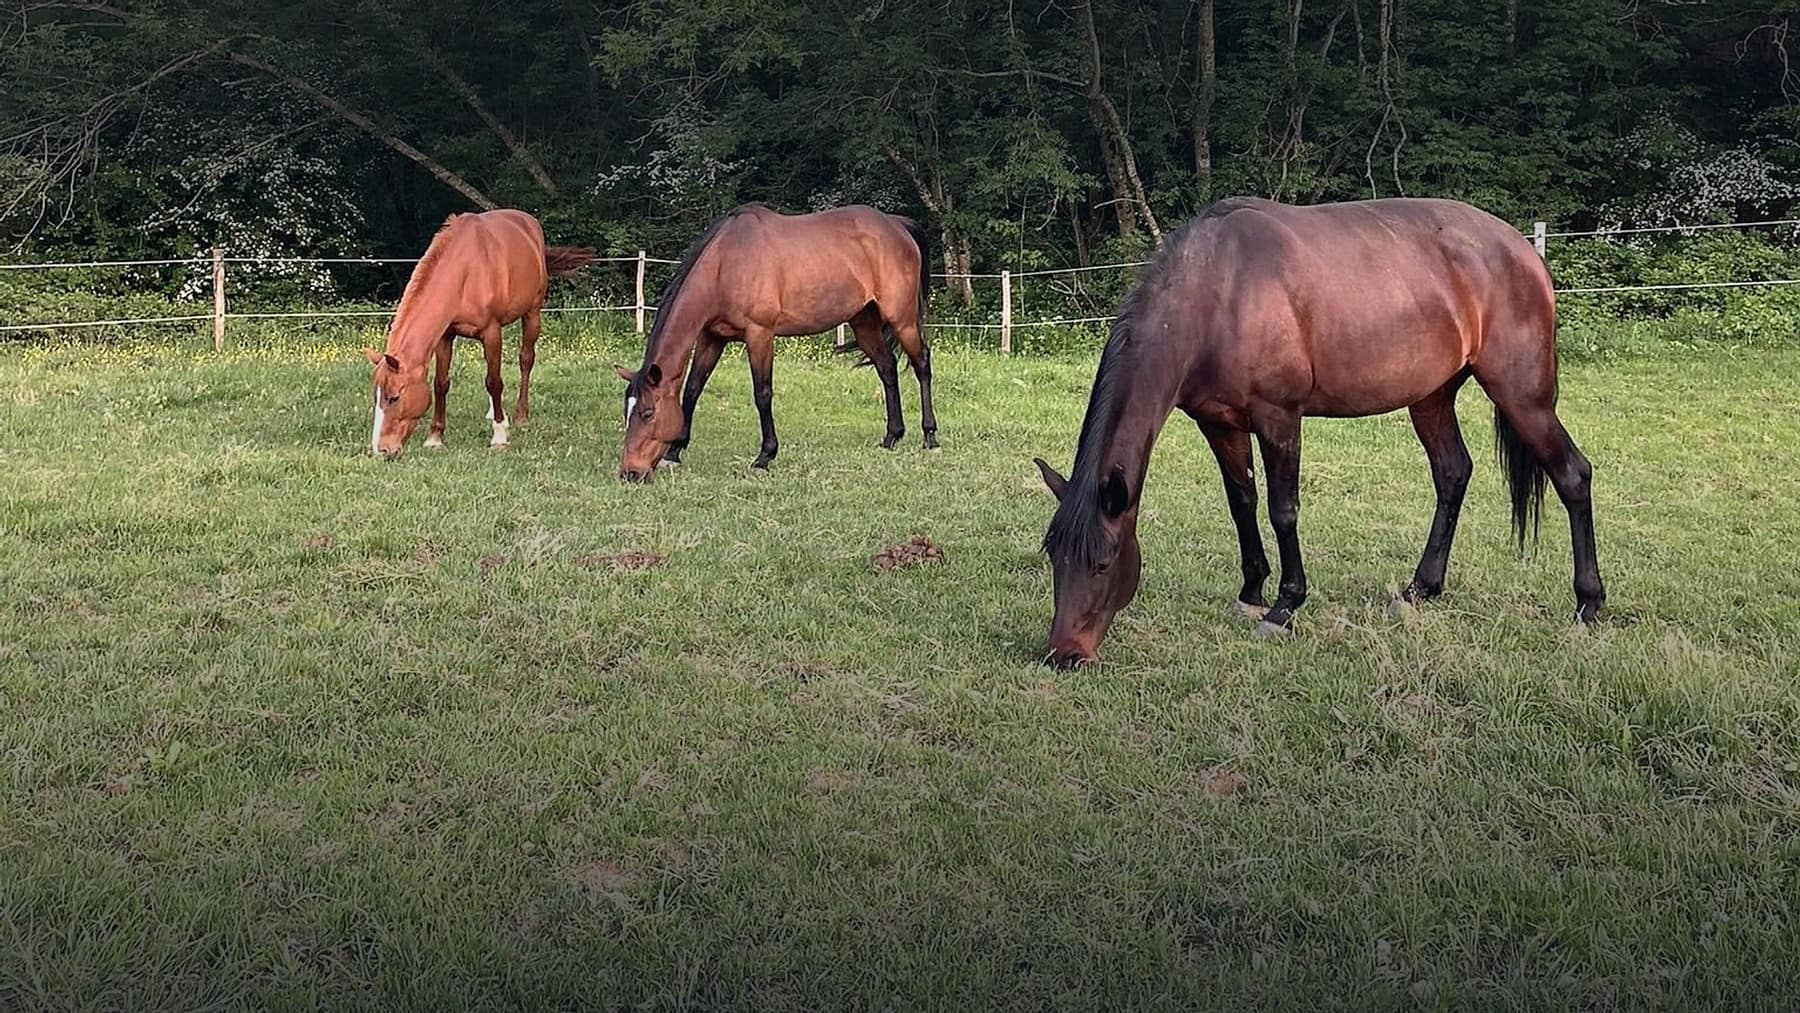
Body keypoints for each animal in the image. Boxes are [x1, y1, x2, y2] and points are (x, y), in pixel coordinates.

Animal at [366, 209, 595, 459]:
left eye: (394, 397)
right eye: (376, 396)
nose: (381, 450)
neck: (465, 271)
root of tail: (528, 221)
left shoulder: (491, 332)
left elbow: (494, 382)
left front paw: (500, 436)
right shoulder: (445, 336)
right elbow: (441, 383)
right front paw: (435, 437)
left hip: (532, 314)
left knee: (525, 360)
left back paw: (520, 415)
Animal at [613, 203, 935, 481]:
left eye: (647, 413)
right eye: (626, 412)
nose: (630, 472)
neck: (726, 263)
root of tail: (896, 225)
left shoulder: (760, 334)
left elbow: (762, 393)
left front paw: (765, 456)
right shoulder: (712, 337)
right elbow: (693, 388)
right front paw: (675, 451)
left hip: (902, 319)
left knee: (921, 364)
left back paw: (930, 436)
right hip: (864, 322)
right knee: (887, 367)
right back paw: (892, 436)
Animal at [1033, 196, 1605, 668]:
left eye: (1104, 563)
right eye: (1053, 555)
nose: (1064, 655)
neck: (1219, 292)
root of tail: (1524, 253)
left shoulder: (1279, 417)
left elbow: (1282, 509)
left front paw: (1284, 607)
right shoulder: (1219, 423)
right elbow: (1241, 502)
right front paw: (1251, 591)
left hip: (1522, 396)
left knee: (1572, 474)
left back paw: (1589, 605)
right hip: (1432, 396)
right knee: (1452, 473)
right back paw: (1419, 590)